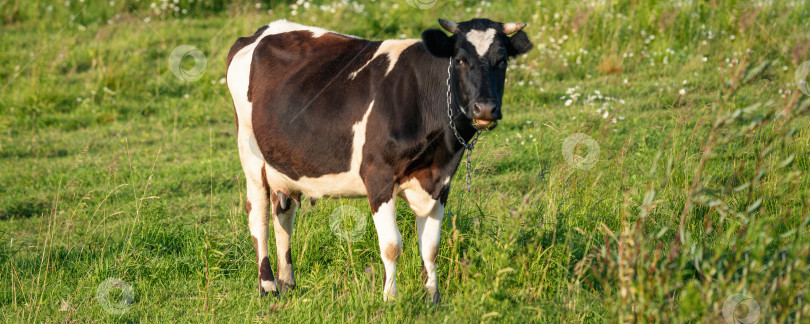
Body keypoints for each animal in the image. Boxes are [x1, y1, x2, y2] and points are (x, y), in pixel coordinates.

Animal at [226, 17, 532, 302]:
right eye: (459, 60)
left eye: (502, 60)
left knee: (283, 215)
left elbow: (431, 245)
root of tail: (263, 31)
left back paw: (288, 281)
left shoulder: (440, 180)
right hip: (251, 156)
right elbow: (392, 245)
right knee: (259, 218)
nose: (485, 109)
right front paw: (390, 298)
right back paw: (268, 287)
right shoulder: (378, 177)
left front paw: (432, 297)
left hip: (284, 163)